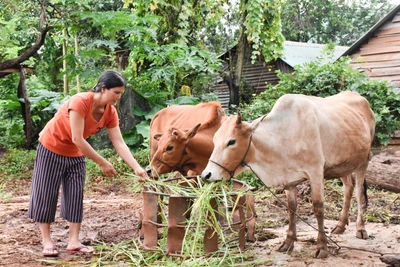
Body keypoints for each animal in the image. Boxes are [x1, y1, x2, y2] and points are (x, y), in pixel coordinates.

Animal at [202, 91, 376, 258]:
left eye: (231, 141)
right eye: (215, 140)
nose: (207, 175)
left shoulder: (315, 172)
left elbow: (318, 208)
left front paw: (321, 247)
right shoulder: (289, 179)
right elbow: (292, 208)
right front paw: (288, 242)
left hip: (363, 161)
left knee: (359, 192)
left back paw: (361, 229)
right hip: (343, 164)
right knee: (348, 187)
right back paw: (340, 225)